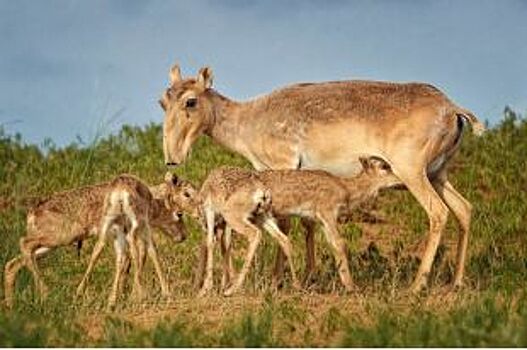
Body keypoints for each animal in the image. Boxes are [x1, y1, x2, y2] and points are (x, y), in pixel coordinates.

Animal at [161, 65, 486, 292]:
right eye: (163, 101)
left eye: (190, 101)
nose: (171, 157)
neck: (249, 119)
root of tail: (453, 108)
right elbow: (307, 224)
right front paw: (307, 276)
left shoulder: (283, 164)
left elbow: (285, 223)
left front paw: (279, 280)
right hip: (438, 174)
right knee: (464, 209)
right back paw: (456, 282)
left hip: (412, 173)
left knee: (438, 213)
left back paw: (417, 284)